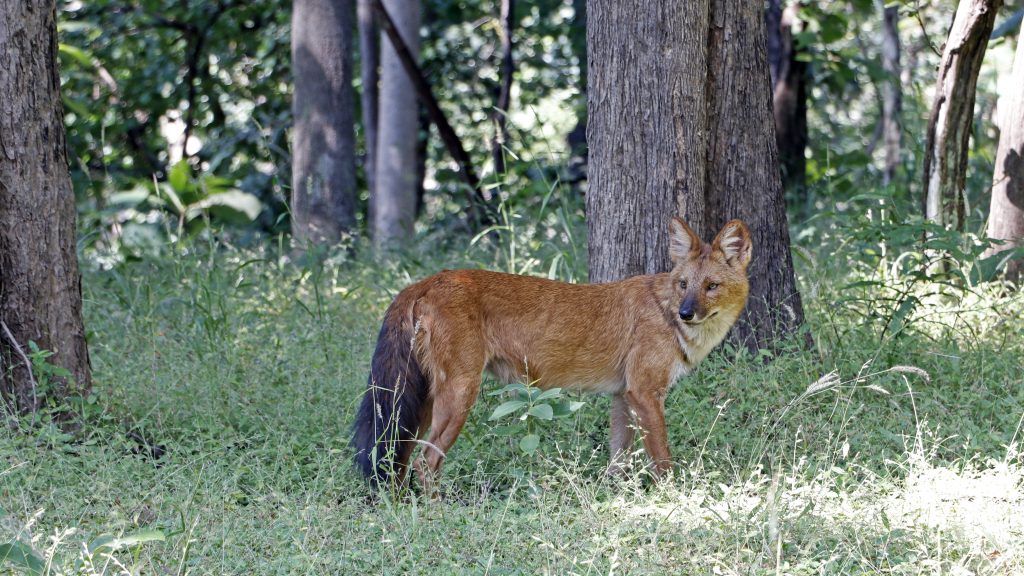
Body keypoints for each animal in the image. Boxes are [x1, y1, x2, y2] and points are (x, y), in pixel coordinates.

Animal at [352, 215, 753, 487]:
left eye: (711, 286)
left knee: (398, 456)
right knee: (425, 462)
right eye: (684, 284)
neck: (665, 310)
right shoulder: (645, 393)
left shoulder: (624, 396)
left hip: (421, 399)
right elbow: (663, 461)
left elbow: (617, 461)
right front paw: (672, 500)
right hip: (459, 394)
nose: (686, 312)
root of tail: (426, 280)